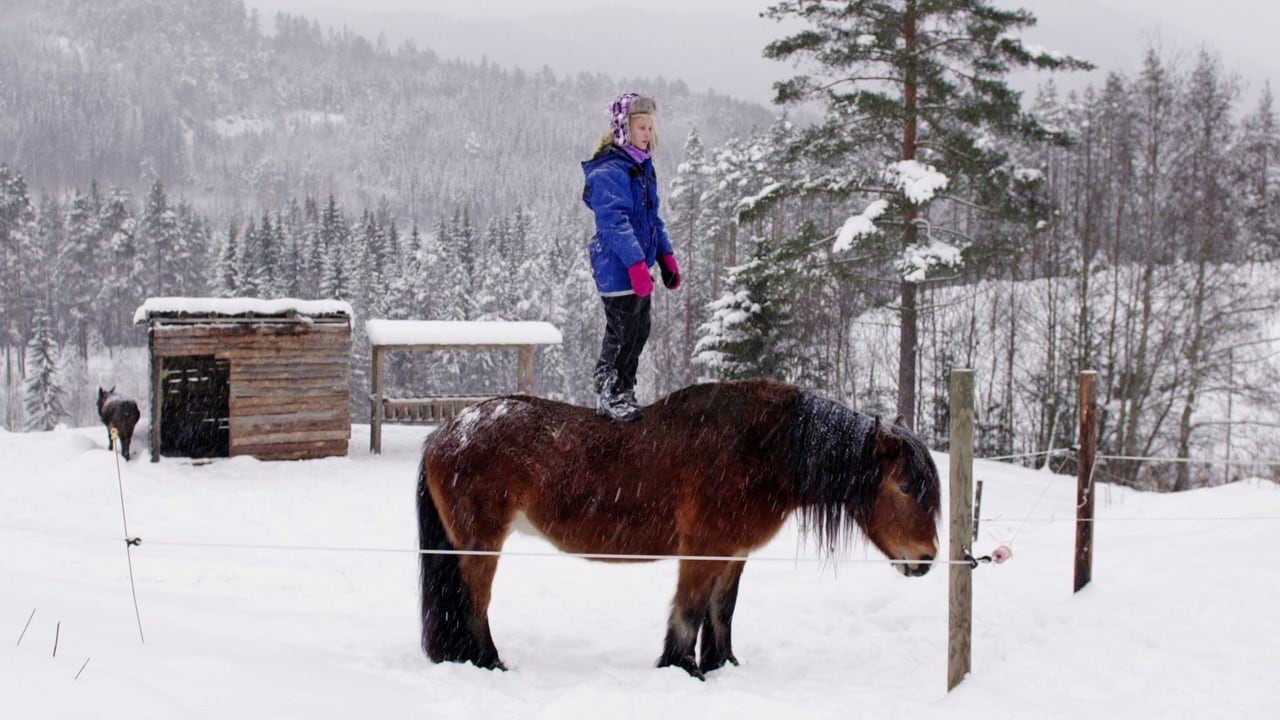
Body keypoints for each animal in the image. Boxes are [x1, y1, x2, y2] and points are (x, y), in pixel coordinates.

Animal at [417, 379, 942, 676]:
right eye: (906, 487)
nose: (927, 560)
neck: (760, 449)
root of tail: (447, 431)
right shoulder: (703, 550)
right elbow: (689, 612)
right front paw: (683, 668)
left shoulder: (732, 554)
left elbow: (721, 612)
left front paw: (723, 665)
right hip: (482, 544)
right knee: (474, 604)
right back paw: (490, 663)